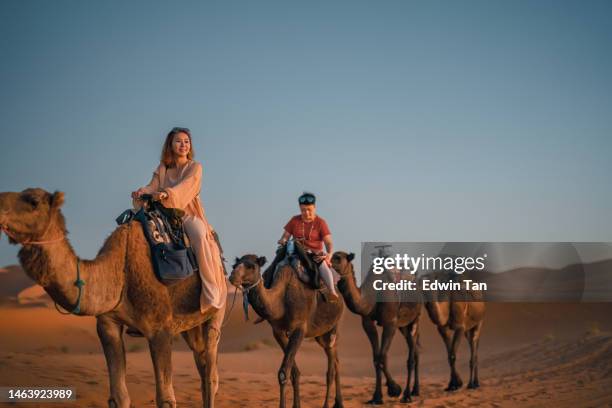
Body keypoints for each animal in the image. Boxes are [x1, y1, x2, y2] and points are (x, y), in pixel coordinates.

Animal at [0, 188, 226, 408]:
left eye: (34, 201)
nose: (0, 205)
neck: (120, 270)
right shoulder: (108, 324)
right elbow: (118, 397)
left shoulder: (160, 328)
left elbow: (166, 398)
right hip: (190, 325)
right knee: (202, 360)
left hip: (216, 311)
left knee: (211, 374)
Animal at [230, 253, 344, 406]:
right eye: (234, 265)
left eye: (251, 266)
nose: (232, 276)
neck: (281, 300)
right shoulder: (278, 332)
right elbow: (293, 372)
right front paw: (297, 405)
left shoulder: (299, 329)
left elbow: (283, 373)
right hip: (320, 334)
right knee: (335, 361)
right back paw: (338, 402)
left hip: (333, 327)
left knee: (331, 367)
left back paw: (330, 404)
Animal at [330, 252, 420, 404]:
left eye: (338, 258)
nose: (327, 264)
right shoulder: (367, 322)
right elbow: (376, 358)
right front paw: (377, 397)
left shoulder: (390, 323)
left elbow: (382, 357)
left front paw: (395, 389)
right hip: (402, 325)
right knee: (415, 349)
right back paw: (415, 390)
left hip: (416, 317)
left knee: (412, 354)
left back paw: (407, 395)